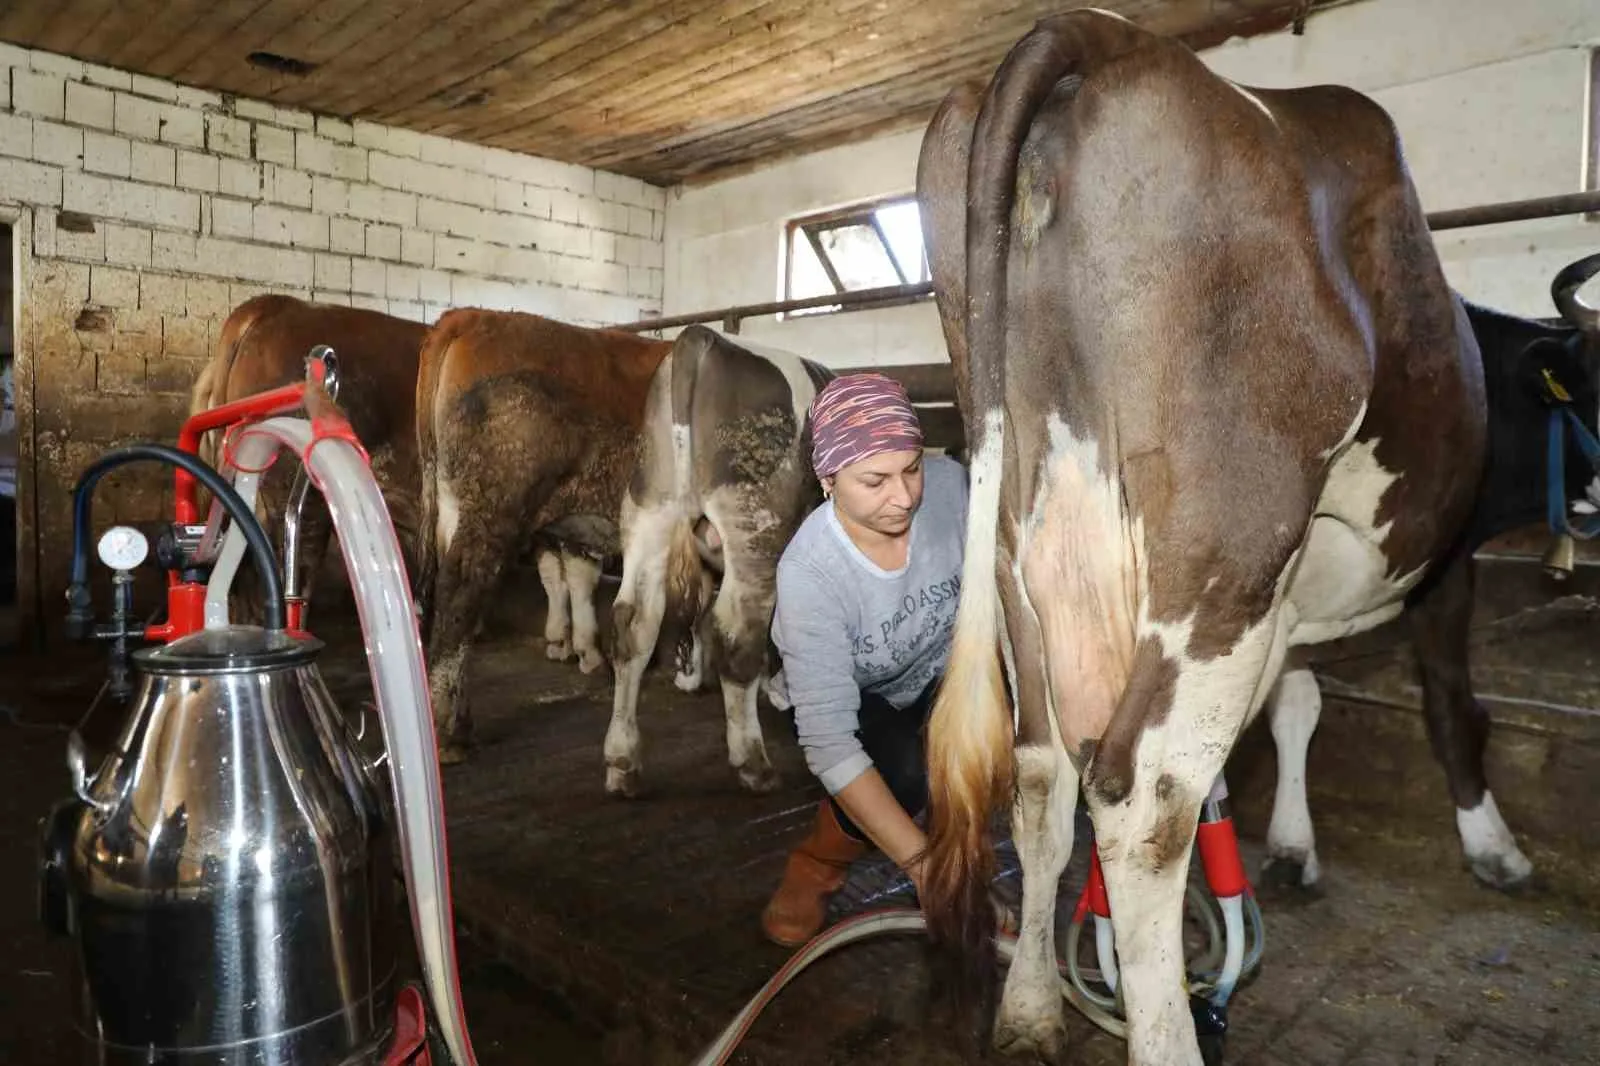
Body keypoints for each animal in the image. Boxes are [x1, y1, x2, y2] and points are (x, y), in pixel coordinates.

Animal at [601, 328, 825, 793]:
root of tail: (701, 336)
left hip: (649, 507)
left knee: (634, 624)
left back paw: (622, 761)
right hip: (756, 525)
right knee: (737, 633)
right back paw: (753, 762)